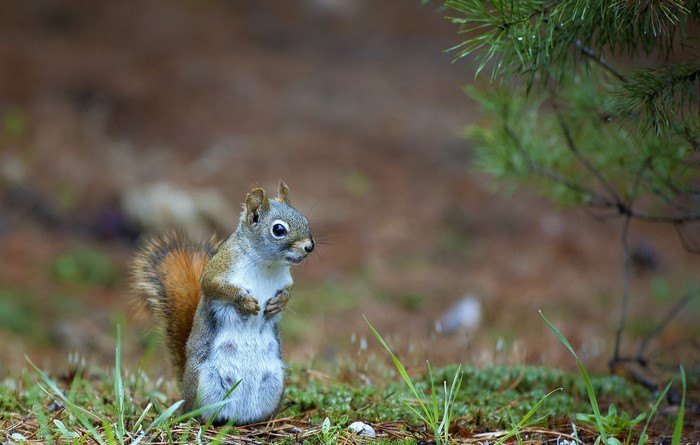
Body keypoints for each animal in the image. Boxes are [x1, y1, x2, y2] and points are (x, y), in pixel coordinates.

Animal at [130, 181, 314, 425]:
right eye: (279, 230)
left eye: (304, 219)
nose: (310, 246)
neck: (266, 265)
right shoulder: (217, 271)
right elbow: (214, 287)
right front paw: (245, 302)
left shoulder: (286, 281)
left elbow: (288, 293)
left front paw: (279, 303)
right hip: (204, 382)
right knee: (196, 411)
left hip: (274, 380)